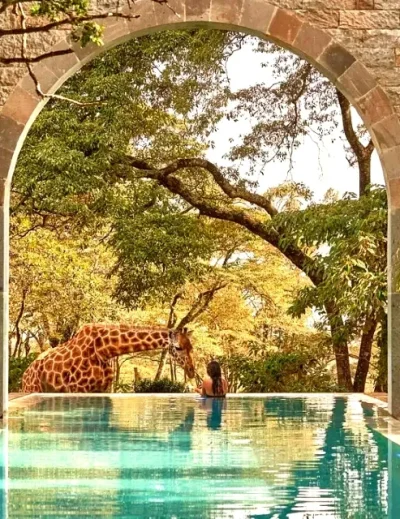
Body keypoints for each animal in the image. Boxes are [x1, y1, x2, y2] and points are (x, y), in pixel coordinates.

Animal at [21, 324, 195, 394]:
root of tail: (25, 374)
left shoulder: (103, 388)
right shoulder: (79, 389)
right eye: (178, 347)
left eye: (191, 347)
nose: (192, 371)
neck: (105, 350)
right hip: (32, 388)